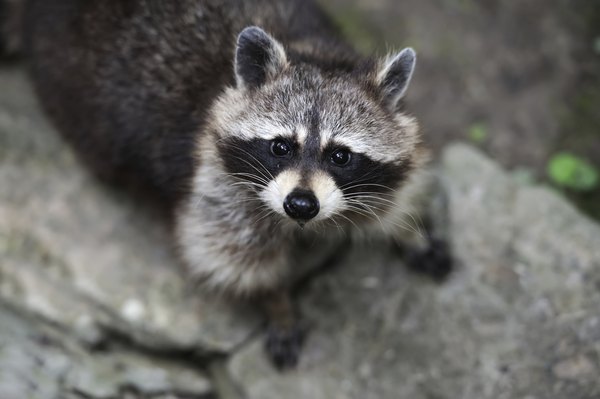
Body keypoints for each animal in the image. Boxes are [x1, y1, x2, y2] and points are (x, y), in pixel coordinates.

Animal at [18, 0, 450, 368]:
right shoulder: (213, 183)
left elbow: (396, 190)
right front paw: (276, 302)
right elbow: (232, 259)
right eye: (280, 147)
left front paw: (409, 230)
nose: (301, 205)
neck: (314, 55)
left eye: (340, 156)